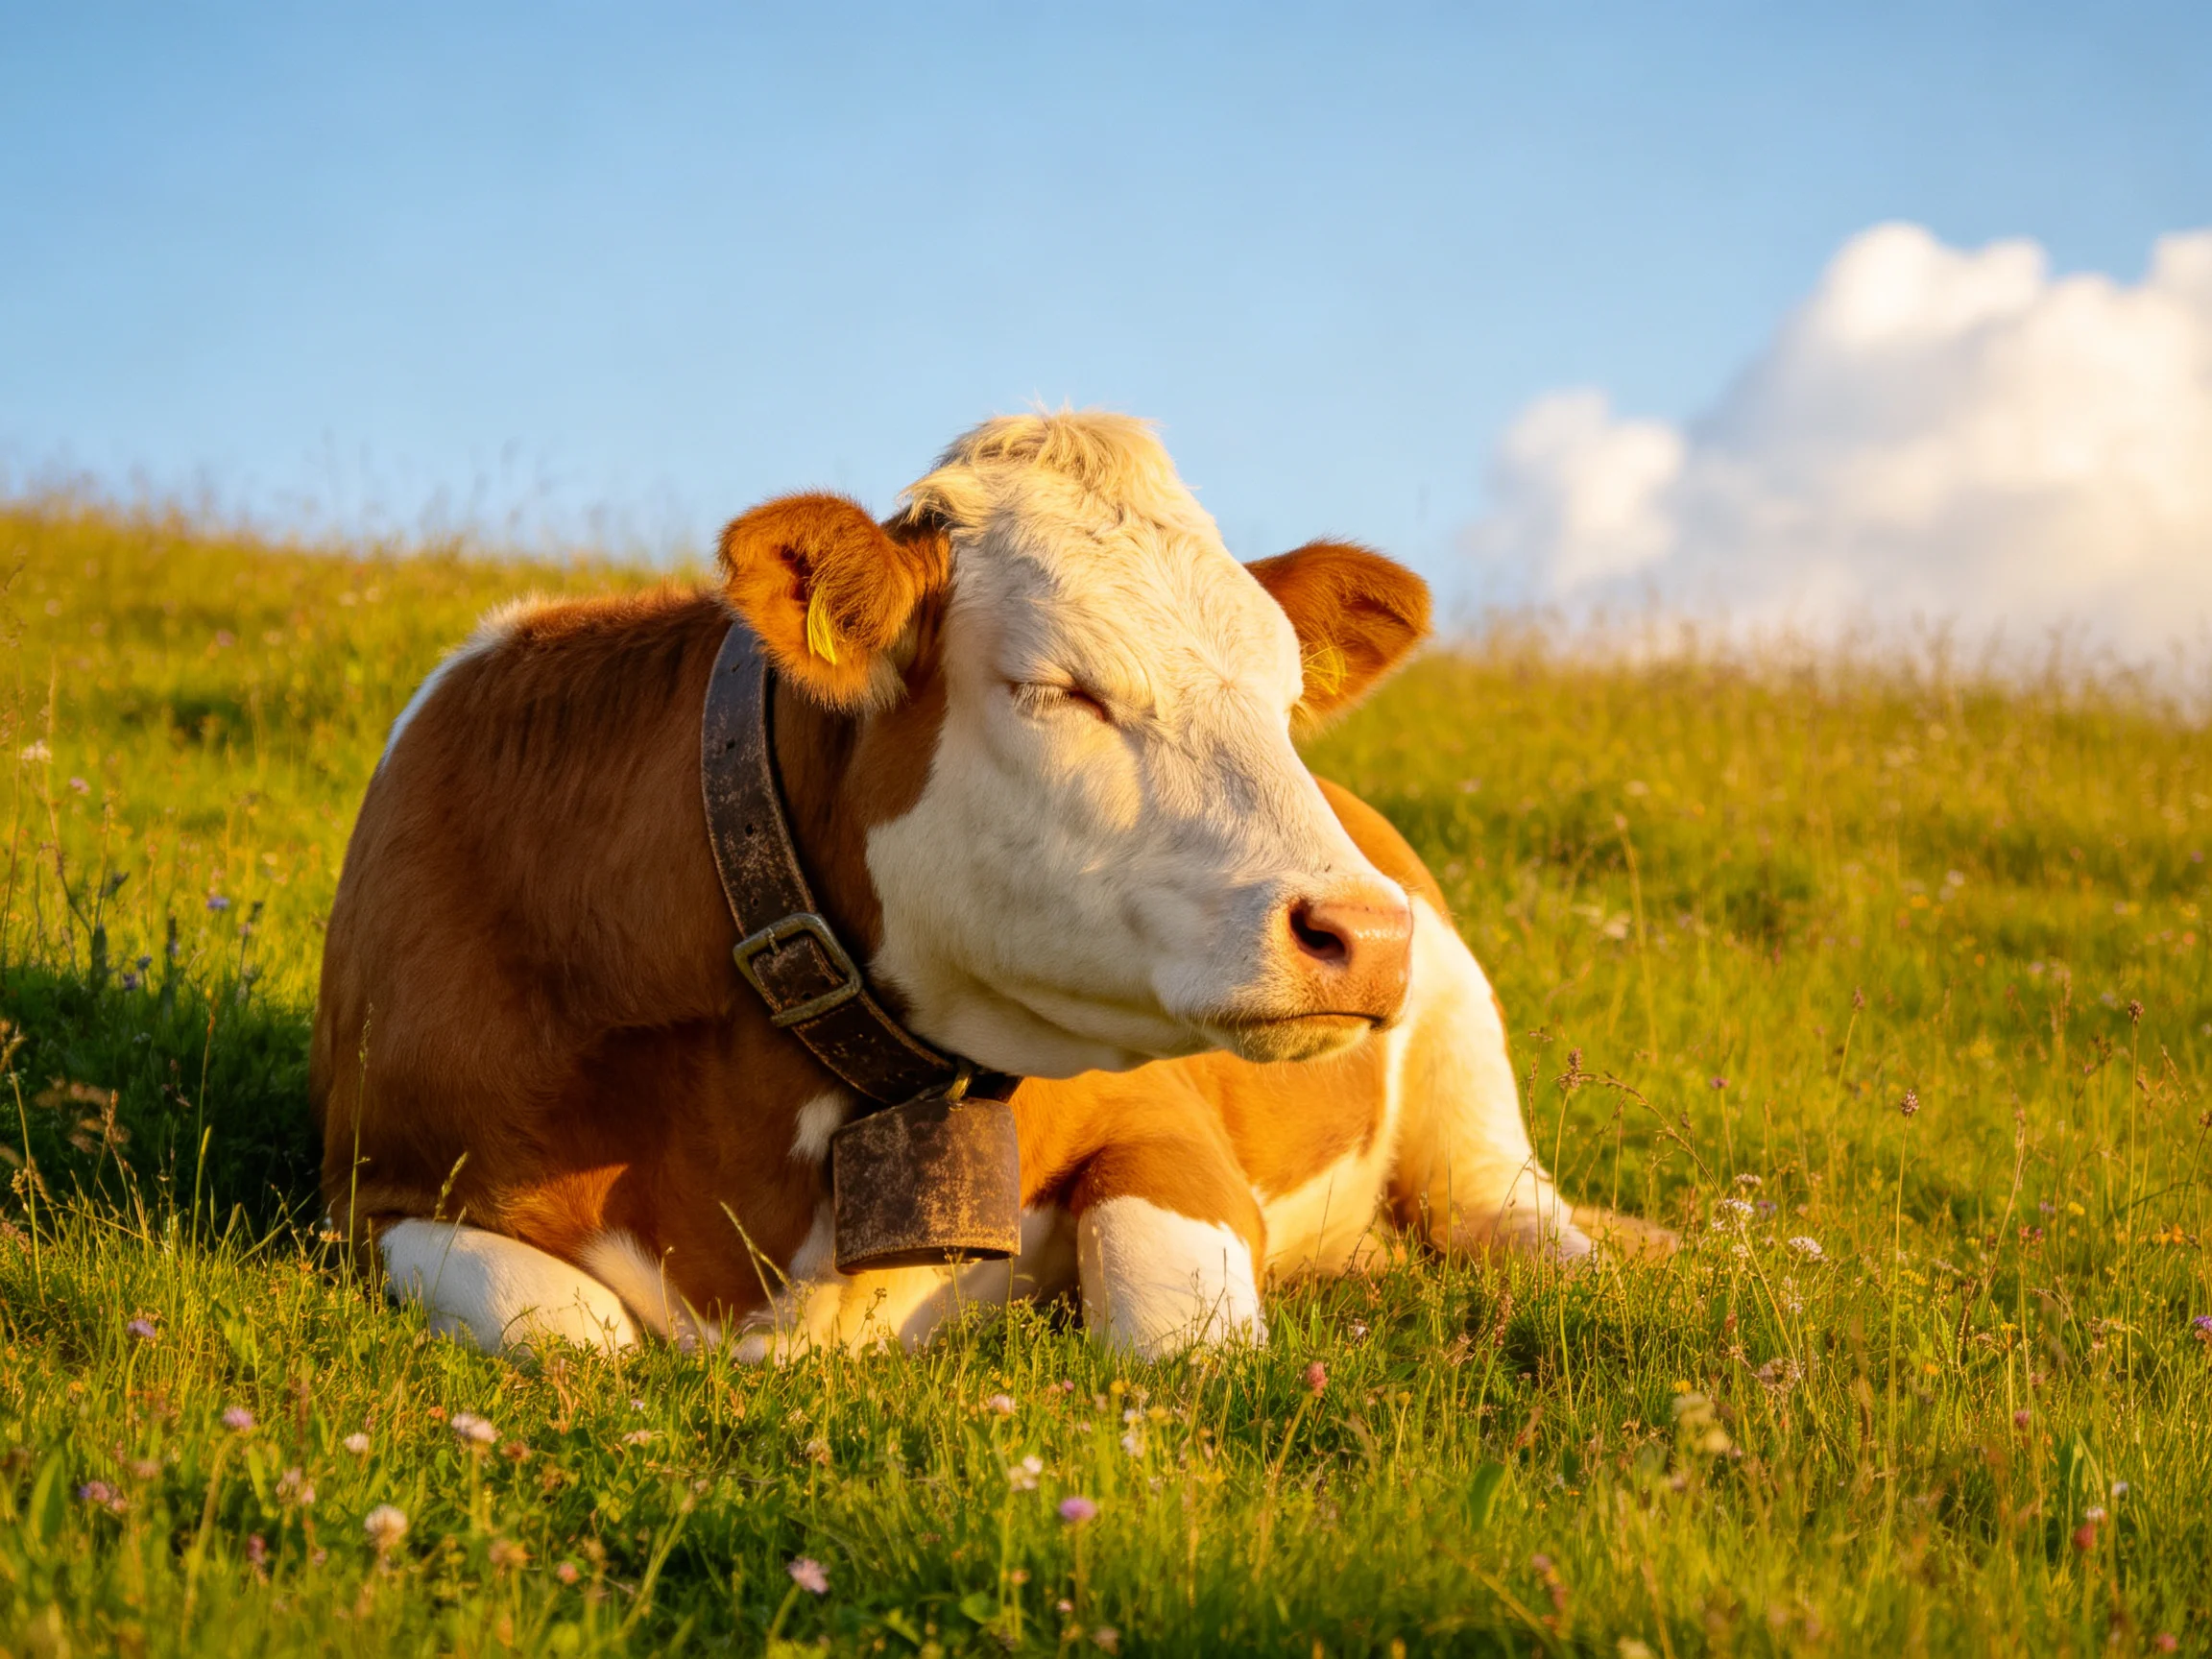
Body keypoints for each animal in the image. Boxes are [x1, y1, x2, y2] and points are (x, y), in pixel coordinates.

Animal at [311, 411, 1669, 1363]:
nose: (1367, 932)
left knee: (1521, 1219)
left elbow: (1179, 1341)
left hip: (1469, 1084)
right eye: (1053, 687)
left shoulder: (1165, 1130)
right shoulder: (375, 1191)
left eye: (1285, 702)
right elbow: (573, 1336)